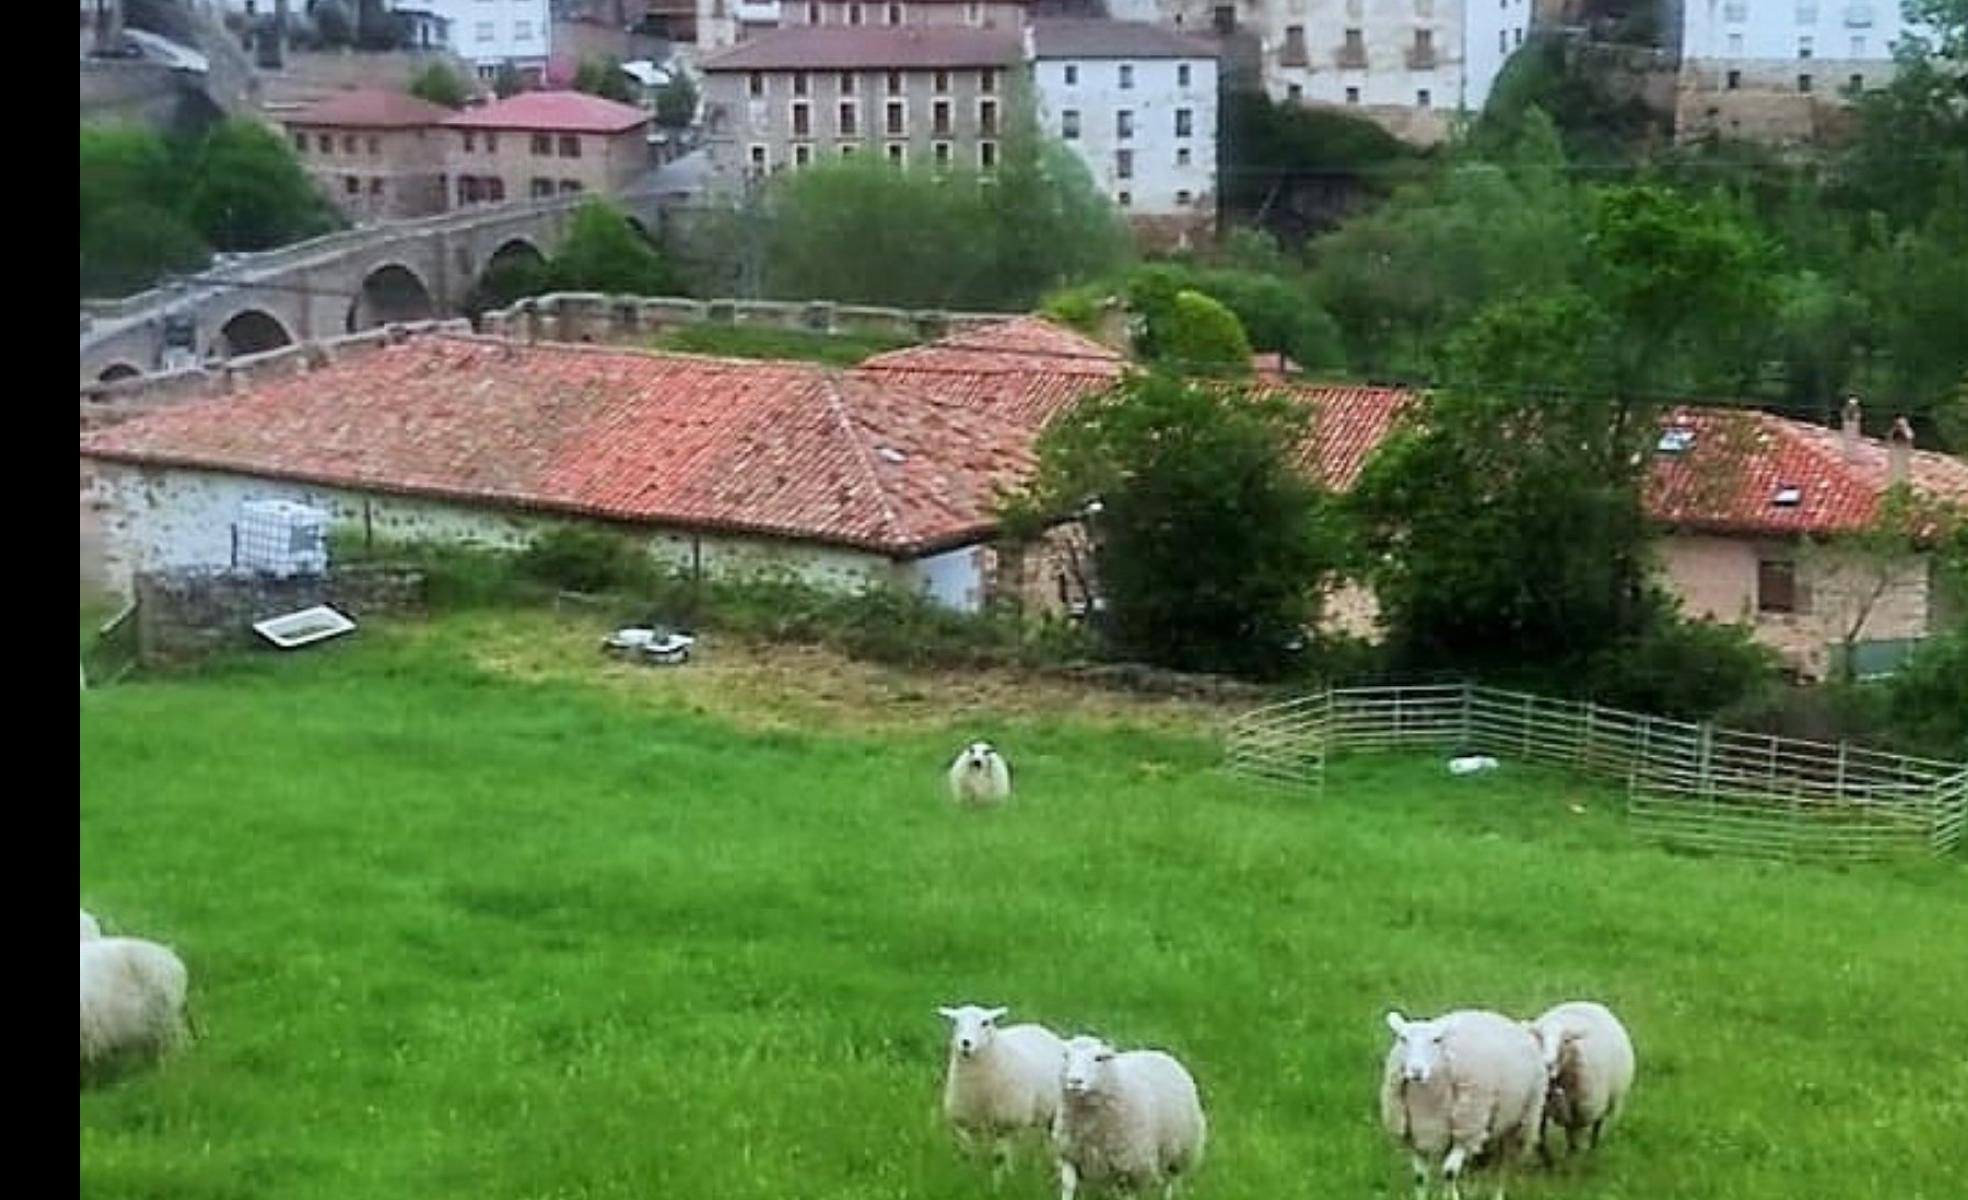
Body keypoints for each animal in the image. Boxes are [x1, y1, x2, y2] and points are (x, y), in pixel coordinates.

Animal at [937, 1004, 1067, 1179]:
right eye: (955, 1021)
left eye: (985, 1023)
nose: (965, 1043)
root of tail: (1036, 1027)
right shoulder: (964, 1125)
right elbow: (967, 1156)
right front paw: (968, 1177)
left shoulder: (1006, 1125)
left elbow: (999, 1158)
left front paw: (1001, 1181)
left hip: (1054, 1114)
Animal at [1052, 1035, 1207, 1200]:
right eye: (1066, 1056)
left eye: (1099, 1058)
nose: (1075, 1081)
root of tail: (1160, 1053)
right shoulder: (1070, 1154)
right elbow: (1068, 1186)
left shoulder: (1134, 1168)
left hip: (1181, 1152)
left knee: (1170, 1182)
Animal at [1381, 1009, 1546, 1200]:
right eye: (1403, 1038)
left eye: (1437, 1040)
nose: (1416, 1071)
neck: (1427, 1101)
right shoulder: (1416, 1136)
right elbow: (1420, 1178)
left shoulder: (1466, 1131)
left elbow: (1449, 1172)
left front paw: (1453, 1196)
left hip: (1519, 1122)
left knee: (1503, 1166)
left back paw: (1498, 1193)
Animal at [1527, 1001, 1635, 1157]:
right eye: (1540, 1038)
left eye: (1566, 1040)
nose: (1548, 1063)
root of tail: (1587, 1002)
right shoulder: (1544, 1109)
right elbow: (1545, 1138)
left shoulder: (1583, 1110)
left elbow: (1574, 1136)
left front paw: (1573, 1157)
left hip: (1604, 1102)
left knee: (1597, 1124)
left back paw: (1592, 1149)